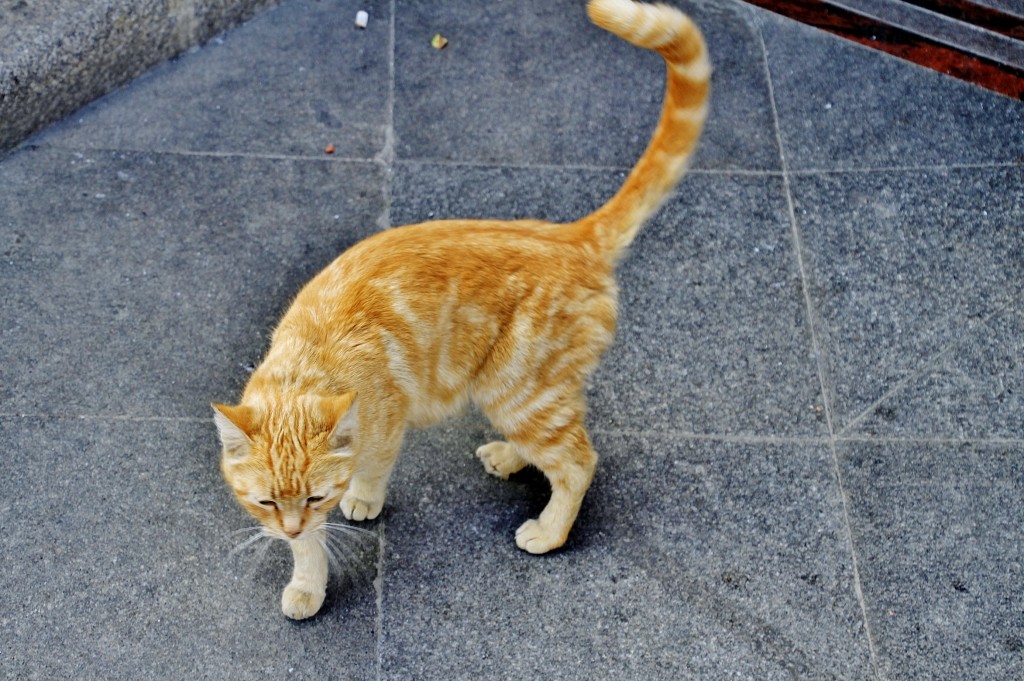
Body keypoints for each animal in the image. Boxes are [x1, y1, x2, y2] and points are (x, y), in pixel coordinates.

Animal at [211, 0, 708, 618]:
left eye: (315, 495)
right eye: (265, 503)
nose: (291, 527)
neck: (311, 361)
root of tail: (571, 236)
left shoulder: (385, 425)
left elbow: (368, 474)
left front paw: (358, 504)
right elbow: (310, 550)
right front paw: (306, 578)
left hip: (516, 387)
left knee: (578, 460)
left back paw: (549, 530)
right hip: (527, 390)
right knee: (564, 437)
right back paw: (511, 457)